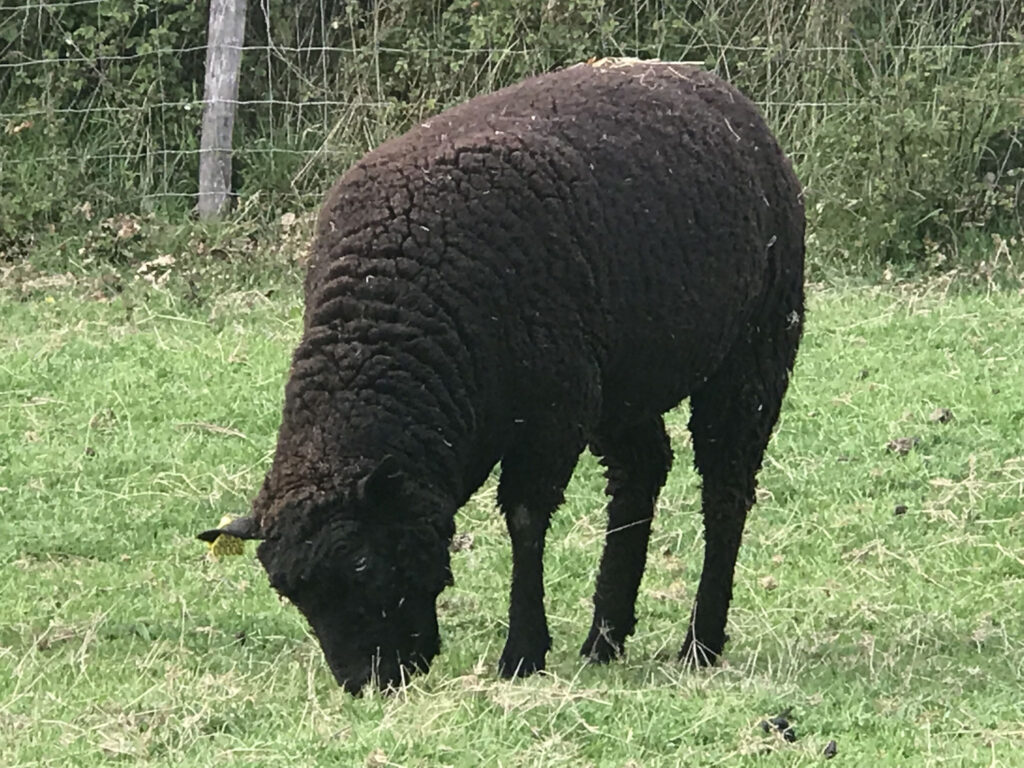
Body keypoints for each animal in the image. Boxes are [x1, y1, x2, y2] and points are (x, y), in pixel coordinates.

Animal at [198, 58, 805, 693]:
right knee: (640, 472)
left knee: (725, 487)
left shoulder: (553, 415)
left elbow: (525, 521)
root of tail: (707, 81)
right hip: (621, 383)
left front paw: (522, 652)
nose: (368, 683)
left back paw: (700, 643)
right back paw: (605, 638)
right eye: (287, 591)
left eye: (363, 563)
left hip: (757, 347)